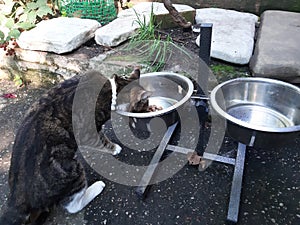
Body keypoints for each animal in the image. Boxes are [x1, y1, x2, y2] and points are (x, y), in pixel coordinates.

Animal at [0, 67, 150, 224]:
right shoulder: (88, 133)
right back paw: (97, 187)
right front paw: (115, 148)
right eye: (145, 103)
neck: (112, 90)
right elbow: (101, 140)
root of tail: (16, 197)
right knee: (73, 205)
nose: (149, 107)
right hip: (71, 169)